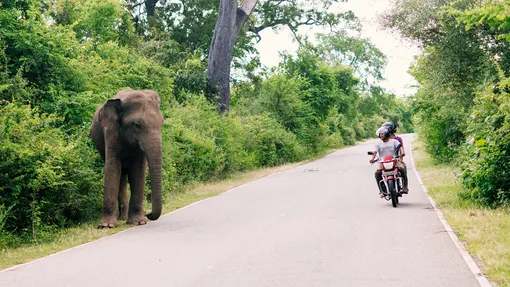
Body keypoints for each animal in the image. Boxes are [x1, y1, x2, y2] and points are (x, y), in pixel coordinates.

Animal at [90, 90, 163, 230]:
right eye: (137, 125)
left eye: (162, 123)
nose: (148, 213)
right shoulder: (111, 132)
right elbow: (112, 167)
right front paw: (106, 226)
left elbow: (139, 171)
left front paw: (138, 222)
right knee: (121, 176)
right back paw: (122, 218)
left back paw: (125, 218)